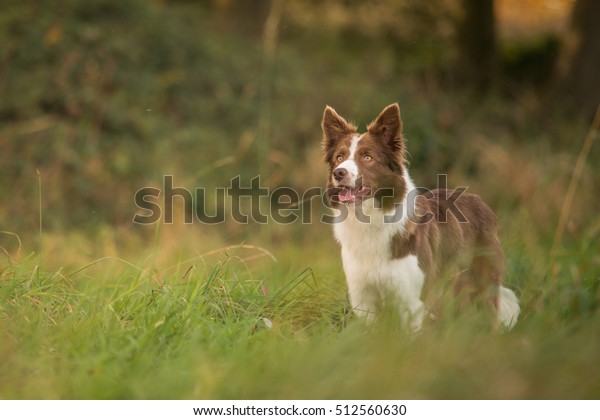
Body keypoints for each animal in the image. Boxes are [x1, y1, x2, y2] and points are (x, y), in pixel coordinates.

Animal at [322, 102, 516, 332]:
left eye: (367, 157)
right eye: (339, 157)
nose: (339, 173)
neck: (369, 219)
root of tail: (477, 200)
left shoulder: (413, 300)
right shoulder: (363, 299)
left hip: (482, 284)